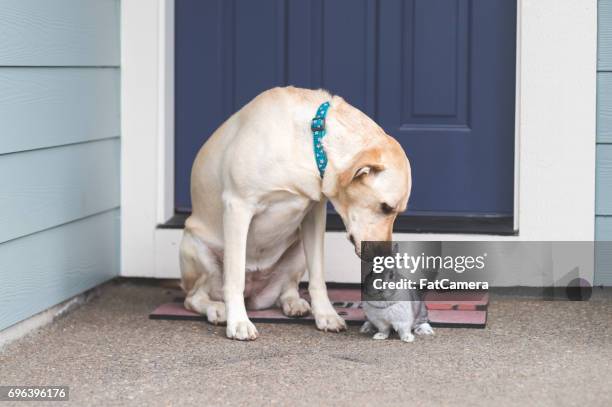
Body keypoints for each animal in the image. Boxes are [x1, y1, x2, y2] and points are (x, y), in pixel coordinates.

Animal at [182, 87, 412, 342]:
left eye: (396, 211)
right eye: (386, 207)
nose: (385, 256)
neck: (311, 144)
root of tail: (255, 295)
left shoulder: (314, 213)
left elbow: (318, 277)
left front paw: (326, 315)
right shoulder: (238, 206)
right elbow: (234, 278)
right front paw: (239, 322)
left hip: (298, 250)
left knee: (287, 288)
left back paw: (294, 303)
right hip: (196, 249)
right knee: (194, 297)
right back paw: (217, 309)